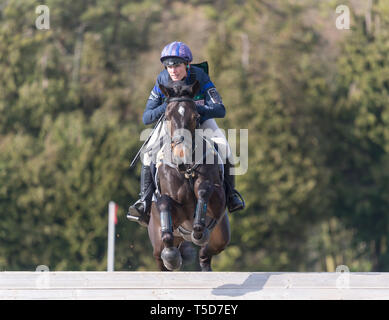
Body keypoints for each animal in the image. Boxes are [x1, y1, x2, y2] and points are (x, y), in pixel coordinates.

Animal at [147, 79, 229, 270]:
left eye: (196, 117)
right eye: (167, 118)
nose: (181, 157)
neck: (187, 171)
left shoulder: (219, 200)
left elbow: (204, 190)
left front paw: (198, 230)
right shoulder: (177, 211)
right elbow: (164, 204)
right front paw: (172, 257)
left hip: (219, 236)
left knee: (205, 253)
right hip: (157, 245)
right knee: (161, 258)